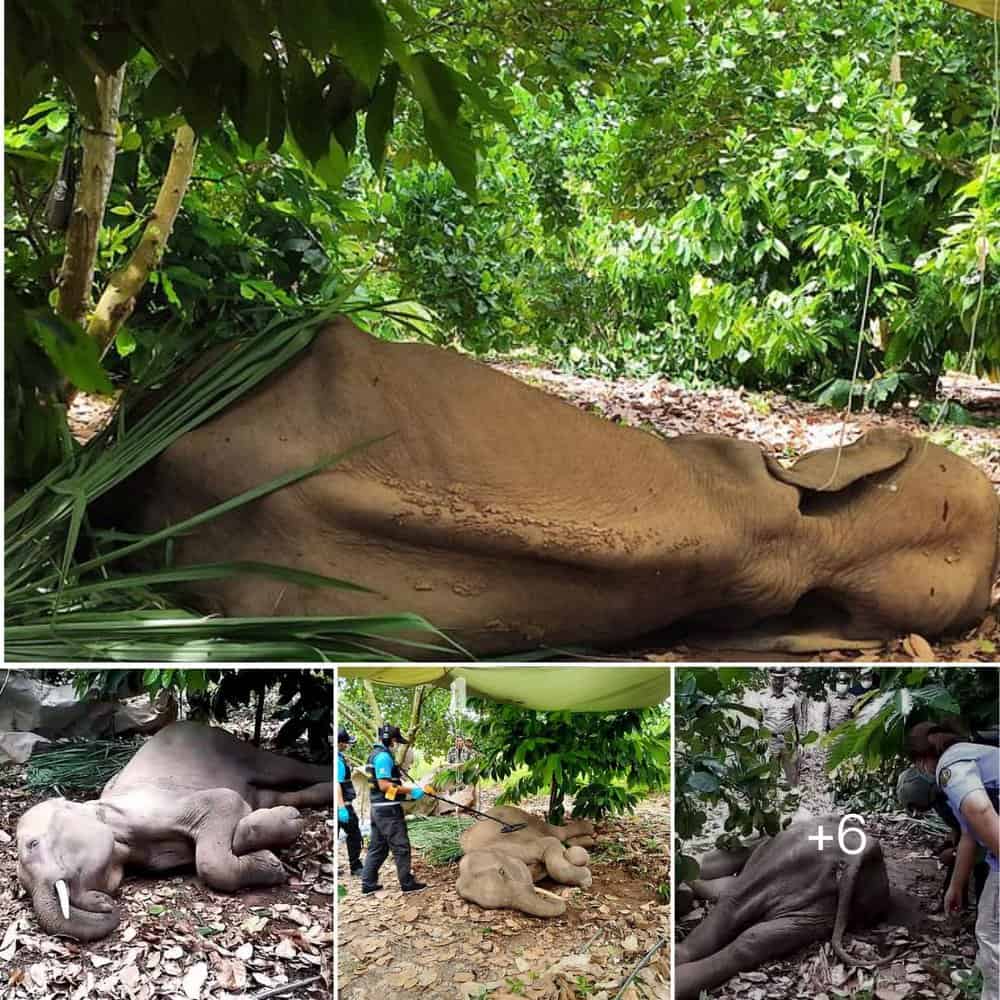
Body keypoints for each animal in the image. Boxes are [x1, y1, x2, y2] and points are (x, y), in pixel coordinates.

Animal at [15, 722, 332, 941]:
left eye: (33, 844)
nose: (104, 903)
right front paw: (270, 848)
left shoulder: (148, 809)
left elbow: (224, 809)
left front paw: (272, 860)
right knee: (271, 794)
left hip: (232, 747)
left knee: (281, 768)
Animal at [456, 806, 596, 917]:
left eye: (502, 872)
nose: (559, 899)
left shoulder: (512, 845)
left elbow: (551, 842)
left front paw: (586, 880)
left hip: (528, 819)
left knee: (558, 833)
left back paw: (589, 829)